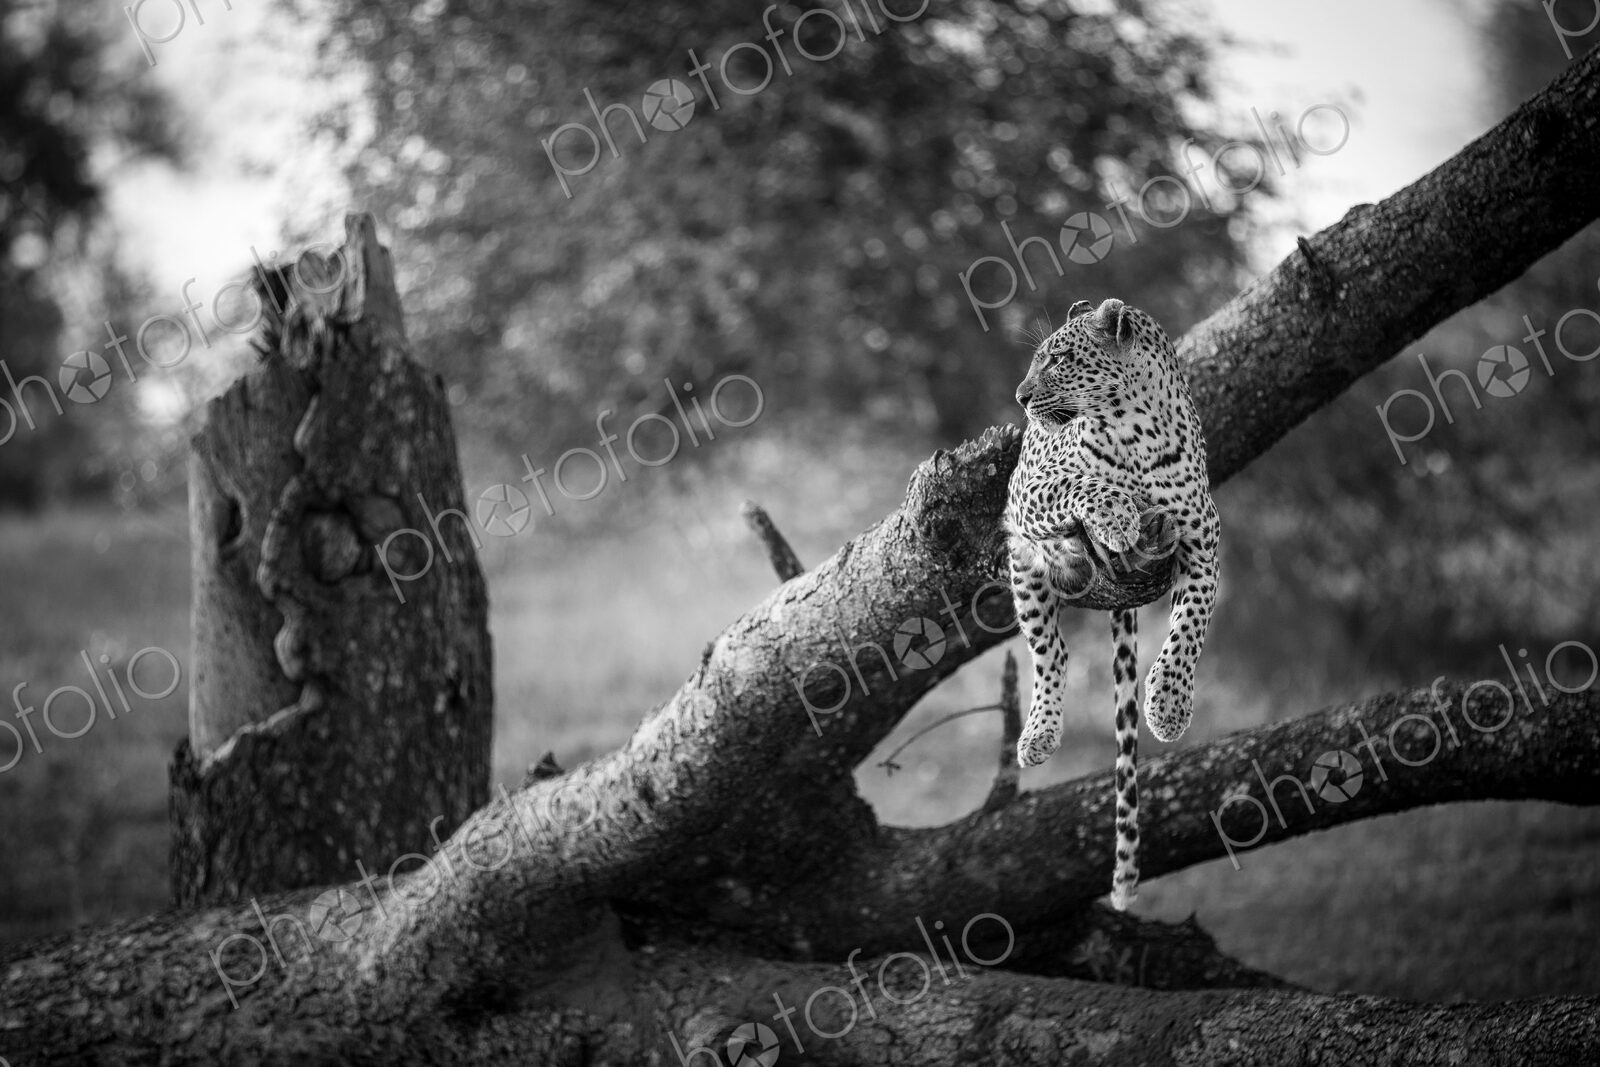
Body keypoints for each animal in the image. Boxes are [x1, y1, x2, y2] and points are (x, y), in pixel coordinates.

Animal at [1003, 297, 1220, 911]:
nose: (1021, 396)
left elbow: (1190, 628)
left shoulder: (1202, 543)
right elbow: (1083, 485)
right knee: (1051, 654)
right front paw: (1117, 516)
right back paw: (1037, 736)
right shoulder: (1031, 491)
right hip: (1022, 567)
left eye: (1058, 360)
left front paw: (1169, 707)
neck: (1135, 429)